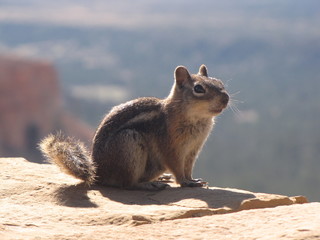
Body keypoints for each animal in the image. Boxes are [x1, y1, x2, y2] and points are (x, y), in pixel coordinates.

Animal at [39, 64, 228, 190]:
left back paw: (161, 178)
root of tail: (98, 174)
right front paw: (185, 182)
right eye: (199, 89)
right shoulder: (170, 145)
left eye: (220, 82)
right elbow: (176, 166)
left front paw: (193, 180)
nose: (226, 99)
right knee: (128, 183)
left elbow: (188, 167)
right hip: (129, 142)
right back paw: (150, 185)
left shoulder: (193, 149)